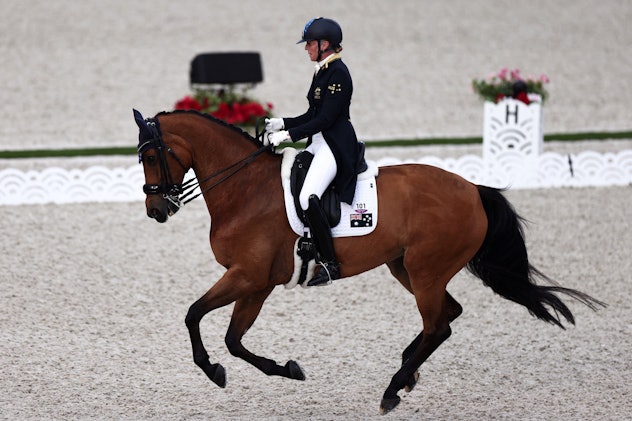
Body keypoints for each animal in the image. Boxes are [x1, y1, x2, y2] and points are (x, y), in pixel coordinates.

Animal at [135, 108, 604, 414]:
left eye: (152, 156)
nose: (156, 210)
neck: (244, 189)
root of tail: (472, 188)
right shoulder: (258, 282)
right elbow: (233, 338)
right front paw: (286, 369)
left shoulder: (247, 276)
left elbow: (194, 314)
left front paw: (213, 369)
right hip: (407, 268)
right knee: (447, 316)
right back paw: (407, 372)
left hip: (426, 270)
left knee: (439, 324)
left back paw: (393, 388)